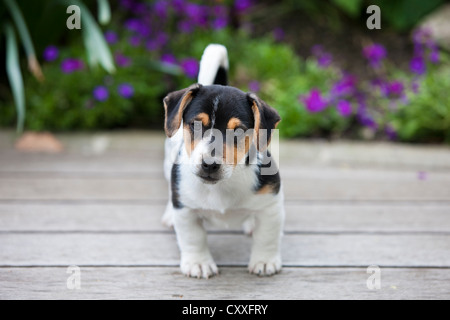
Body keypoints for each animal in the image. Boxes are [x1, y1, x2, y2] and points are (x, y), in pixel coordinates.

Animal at [161, 43, 284, 278]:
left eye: (238, 131)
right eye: (195, 125)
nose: (209, 164)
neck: (220, 187)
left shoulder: (271, 204)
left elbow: (267, 236)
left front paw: (264, 261)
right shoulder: (186, 210)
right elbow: (193, 238)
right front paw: (198, 263)